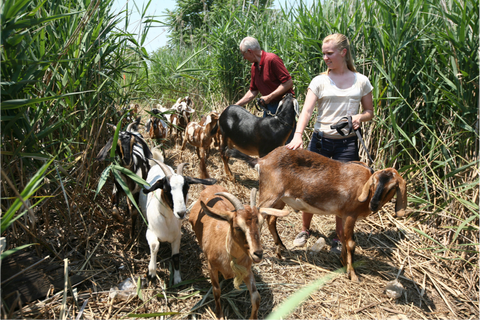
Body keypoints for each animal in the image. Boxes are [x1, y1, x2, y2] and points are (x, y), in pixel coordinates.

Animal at [189, 185, 288, 320]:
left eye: (261, 224)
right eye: (237, 227)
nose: (258, 254)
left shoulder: (247, 270)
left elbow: (256, 297)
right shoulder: (212, 266)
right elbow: (216, 290)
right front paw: (219, 314)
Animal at [227, 146, 406, 282]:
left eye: (392, 187)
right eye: (374, 182)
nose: (374, 204)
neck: (363, 189)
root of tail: (262, 161)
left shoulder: (342, 215)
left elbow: (342, 237)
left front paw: (343, 263)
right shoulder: (350, 215)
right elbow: (351, 243)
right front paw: (353, 275)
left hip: (281, 198)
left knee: (271, 220)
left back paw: (280, 250)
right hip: (270, 194)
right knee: (257, 216)